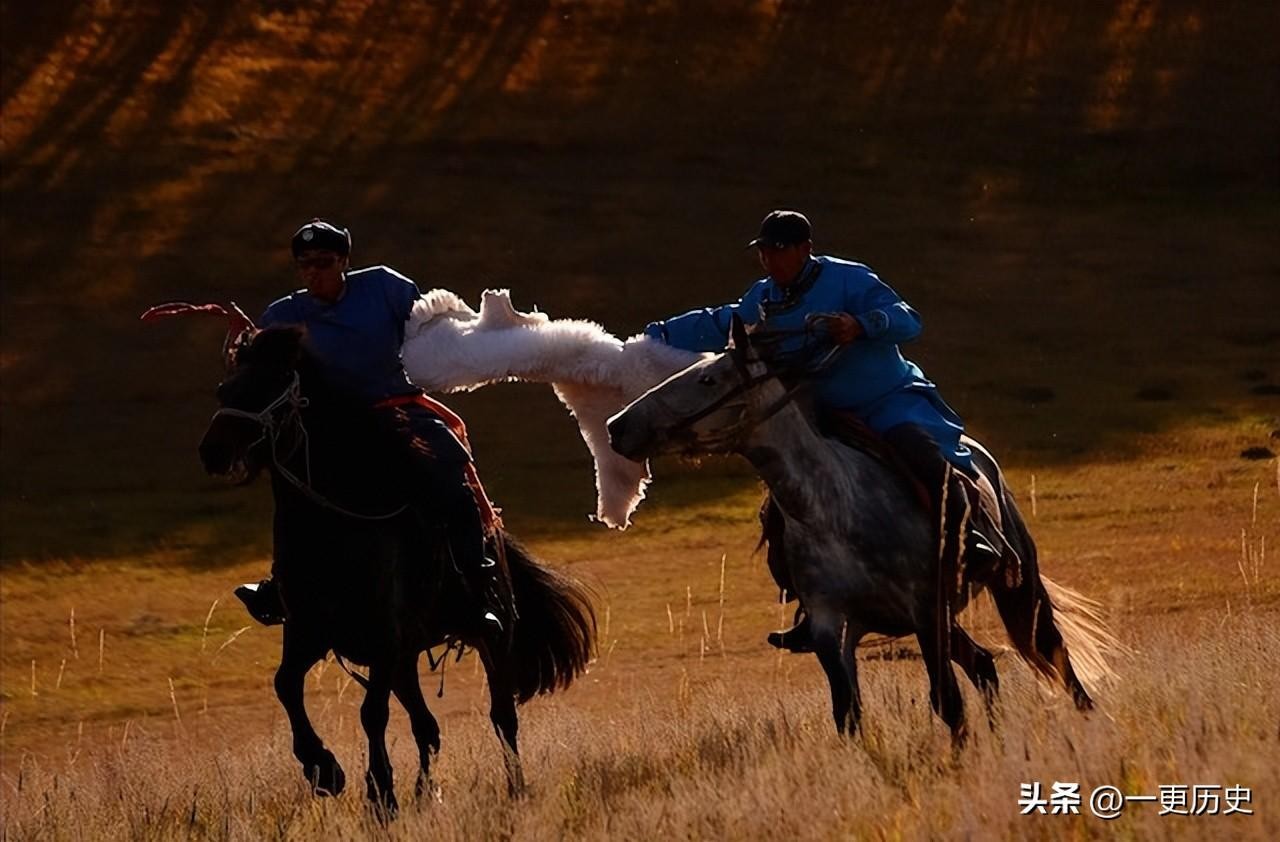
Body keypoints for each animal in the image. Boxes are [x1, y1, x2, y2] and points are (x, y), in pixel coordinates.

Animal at [197, 325, 596, 808]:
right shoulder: (310, 632)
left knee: (502, 718)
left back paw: (514, 788)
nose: (213, 452)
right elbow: (286, 685)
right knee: (428, 727)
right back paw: (425, 794)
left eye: (269, 385)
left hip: (490, 638)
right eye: (225, 389)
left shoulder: (383, 640)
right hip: (407, 659)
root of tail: (495, 535)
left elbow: (372, 713)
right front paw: (323, 769)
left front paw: (379, 791)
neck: (331, 532)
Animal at [604, 313, 1116, 737]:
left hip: (1017, 590)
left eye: (708, 378)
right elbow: (848, 714)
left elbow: (946, 703)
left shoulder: (924, 610)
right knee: (985, 666)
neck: (834, 510)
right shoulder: (832, 628)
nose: (617, 427)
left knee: (1054, 658)